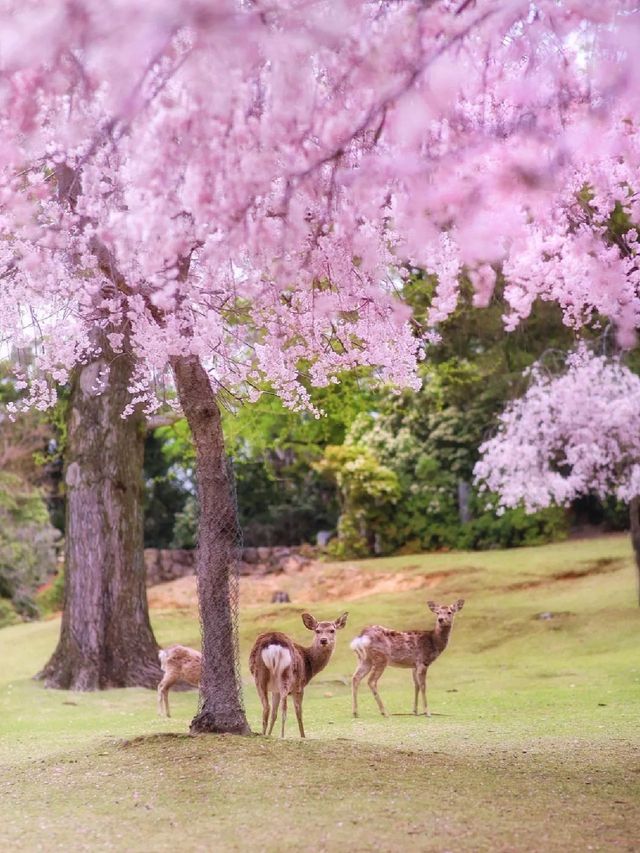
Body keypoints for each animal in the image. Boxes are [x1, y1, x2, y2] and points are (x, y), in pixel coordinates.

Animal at [250, 608, 350, 736]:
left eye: (332, 630)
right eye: (317, 631)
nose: (323, 640)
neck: (309, 663)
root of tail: (273, 643)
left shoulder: (275, 690)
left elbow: (274, 714)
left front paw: (269, 735)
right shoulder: (299, 686)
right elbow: (299, 713)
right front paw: (303, 736)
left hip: (259, 674)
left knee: (266, 707)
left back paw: (264, 734)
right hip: (287, 674)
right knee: (284, 708)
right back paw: (282, 736)